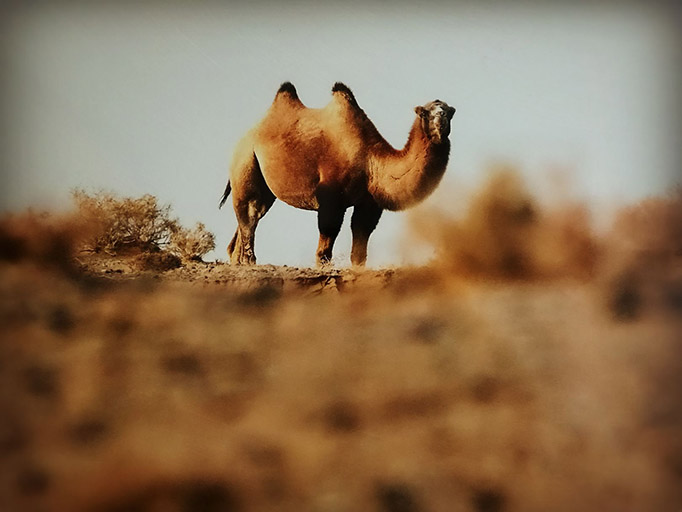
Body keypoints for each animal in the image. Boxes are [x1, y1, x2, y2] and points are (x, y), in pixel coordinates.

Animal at [218, 82, 454, 266]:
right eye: (425, 113)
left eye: (450, 112)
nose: (440, 121)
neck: (371, 161)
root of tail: (246, 137)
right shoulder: (331, 198)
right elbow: (325, 246)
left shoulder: (368, 204)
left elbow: (359, 249)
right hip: (246, 161)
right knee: (249, 214)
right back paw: (250, 261)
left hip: (264, 186)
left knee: (251, 217)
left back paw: (238, 262)